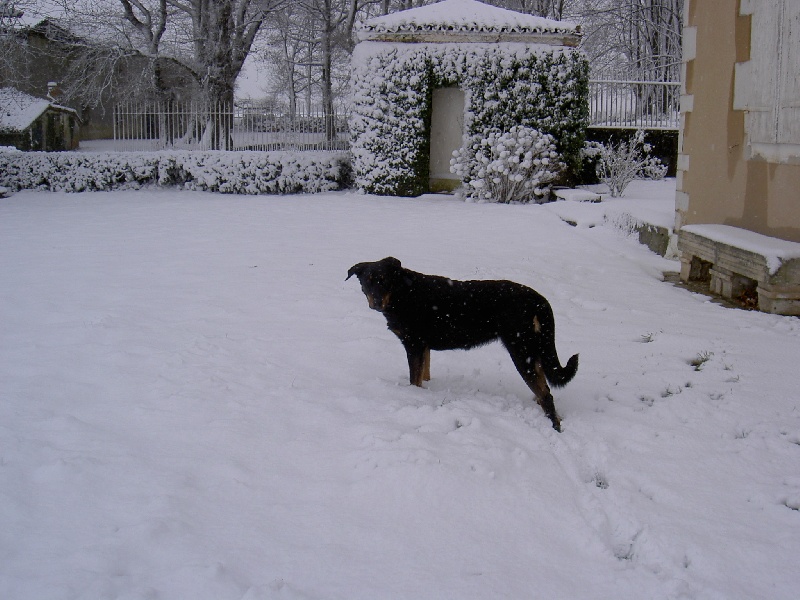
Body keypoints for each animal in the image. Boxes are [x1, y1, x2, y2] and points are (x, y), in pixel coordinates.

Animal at [346, 258, 580, 432]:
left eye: (384, 281)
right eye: (368, 281)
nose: (376, 302)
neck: (403, 293)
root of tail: (539, 300)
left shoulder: (413, 344)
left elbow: (414, 379)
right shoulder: (424, 346)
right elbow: (424, 374)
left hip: (521, 351)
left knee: (546, 394)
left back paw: (554, 427)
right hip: (532, 349)